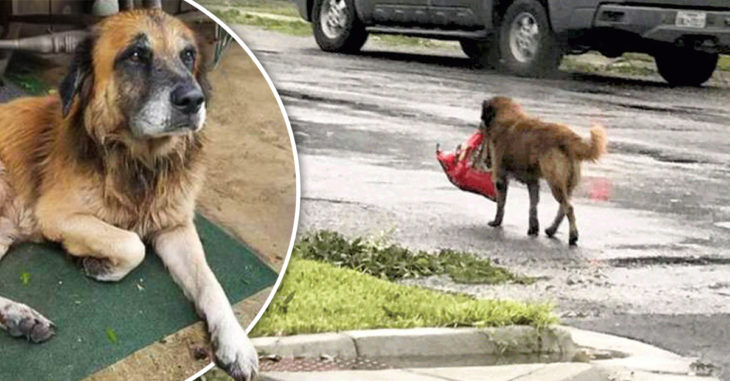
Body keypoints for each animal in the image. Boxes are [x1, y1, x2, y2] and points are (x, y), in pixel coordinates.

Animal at [0, 8, 258, 380]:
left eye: (188, 55)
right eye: (136, 55)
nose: (194, 101)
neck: (141, 165)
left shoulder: (175, 227)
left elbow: (211, 283)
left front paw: (236, 341)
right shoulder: (55, 215)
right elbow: (132, 244)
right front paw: (97, 263)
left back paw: (19, 317)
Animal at [480, 95, 604, 243]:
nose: (486, 161)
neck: (508, 115)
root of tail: (566, 136)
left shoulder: (501, 178)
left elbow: (501, 203)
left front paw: (496, 222)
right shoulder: (532, 181)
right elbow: (533, 206)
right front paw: (533, 228)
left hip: (555, 183)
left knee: (569, 207)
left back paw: (573, 235)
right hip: (566, 185)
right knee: (563, 208)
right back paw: (551, 230)